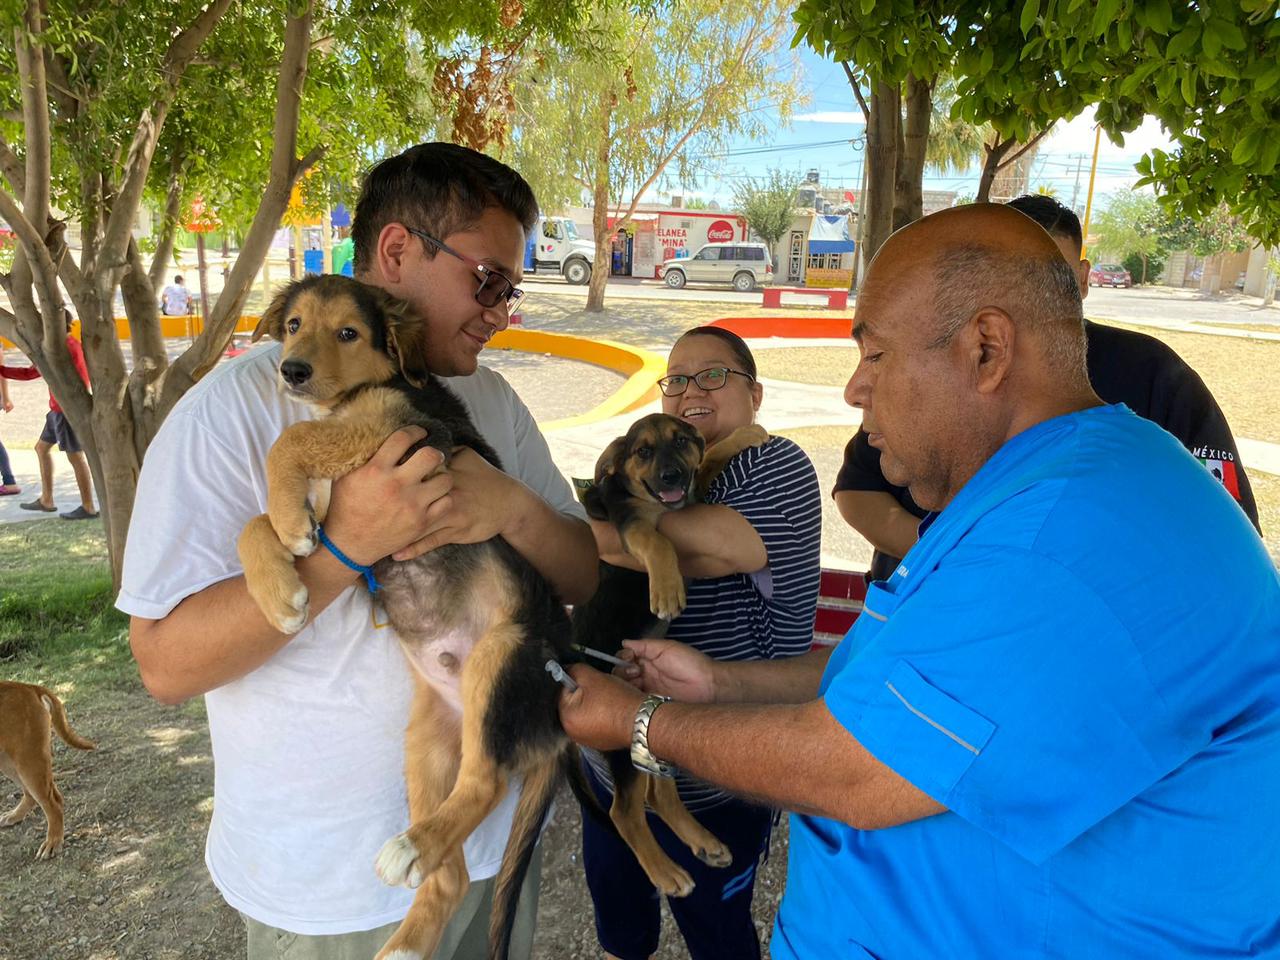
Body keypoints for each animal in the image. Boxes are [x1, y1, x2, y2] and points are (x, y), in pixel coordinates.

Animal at [0, 680, 95, 860]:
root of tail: (28, 687)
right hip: (11, 763)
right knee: (31, 795)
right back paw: (14, 816)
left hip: (29, 762)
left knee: (53, 803)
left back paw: (53, 841)